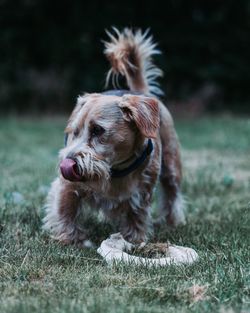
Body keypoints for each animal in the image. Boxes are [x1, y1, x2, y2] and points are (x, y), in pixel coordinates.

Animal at [43, 28, 185, 245]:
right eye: (74, 132)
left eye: (97, 130)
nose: (66, 163)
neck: (114, 169)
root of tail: (141, 93)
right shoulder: (67, 186)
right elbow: (65, 209)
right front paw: (71, 238)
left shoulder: (142, 192)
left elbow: (138, 215)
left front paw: (134, 239)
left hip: (171, 164)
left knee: (172, 193)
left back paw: (172, 222)